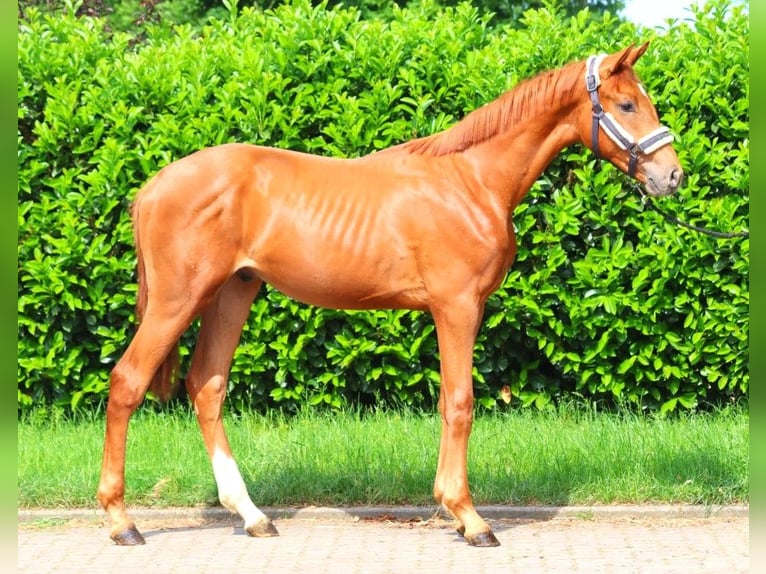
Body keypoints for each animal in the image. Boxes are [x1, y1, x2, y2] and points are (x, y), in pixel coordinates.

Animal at [97, 44, 684, 548]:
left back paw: (253, 516)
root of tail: (151, 188)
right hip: (179, 300)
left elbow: (450, 402)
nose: (672, 176)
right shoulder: (457, 307)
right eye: (627, 104)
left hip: (231, 294)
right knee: (127, 381)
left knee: (207, 387)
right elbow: (460, 403)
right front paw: (470, 518)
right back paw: (122, 521)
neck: (471, 181)